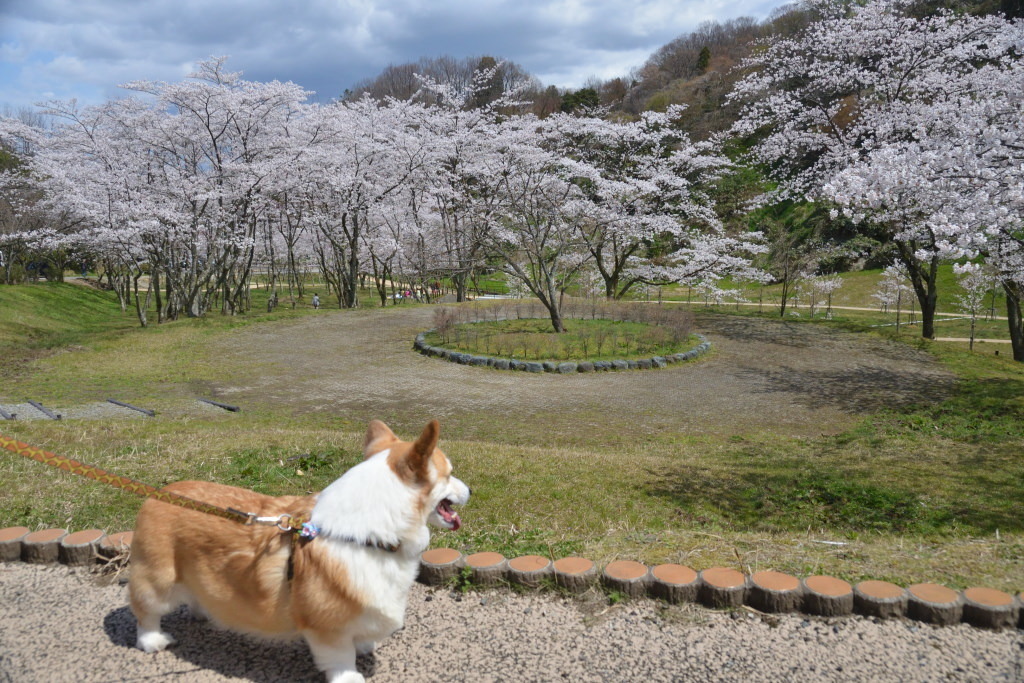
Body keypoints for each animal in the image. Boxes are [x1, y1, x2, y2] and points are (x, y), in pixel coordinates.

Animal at [124, 419, 471, 679]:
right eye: (450, 474)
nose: (470, 490)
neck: (367, 533)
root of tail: (159, 494)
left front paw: (364, 645)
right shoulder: (327, 627)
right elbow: (341, 658)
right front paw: (351, 675)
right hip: (158, 580)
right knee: (145, 611)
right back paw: (152, 640)